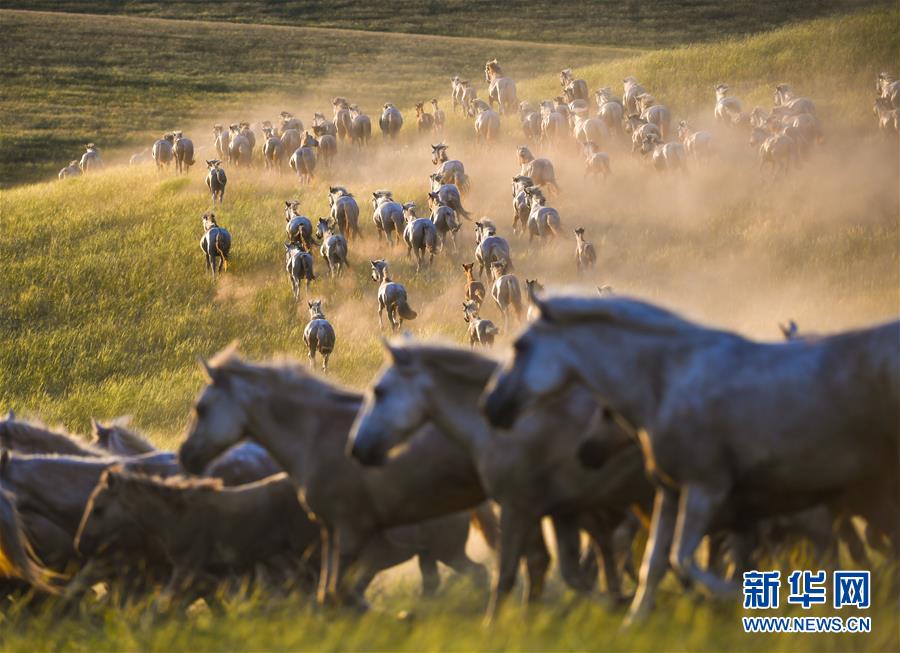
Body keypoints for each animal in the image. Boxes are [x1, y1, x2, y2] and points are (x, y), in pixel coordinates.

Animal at [486, 292, 900, 624]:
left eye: (521, 347)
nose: (491, 405)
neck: (667, 380)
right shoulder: (673, 493)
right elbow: (655, 564)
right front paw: (634, 621)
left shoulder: (708, 488)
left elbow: (684, 559)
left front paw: (743, 598)